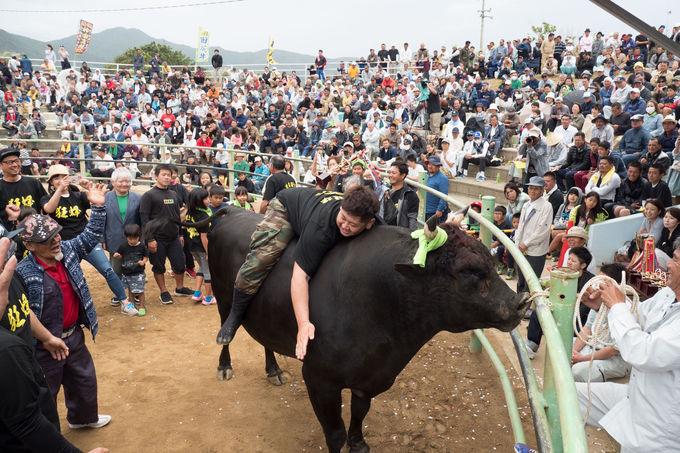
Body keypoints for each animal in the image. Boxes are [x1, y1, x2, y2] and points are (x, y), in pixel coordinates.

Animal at [197, 207, 532, 450]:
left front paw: (358, 444)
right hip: (224, 297)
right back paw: (225, 364)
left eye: (490, 260)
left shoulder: (370, 378)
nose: (520, 301)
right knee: (227, 327)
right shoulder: (319, 379)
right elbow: (334, 433)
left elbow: (359, 415)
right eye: (467, 271)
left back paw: (274, 369)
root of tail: (235, 211)